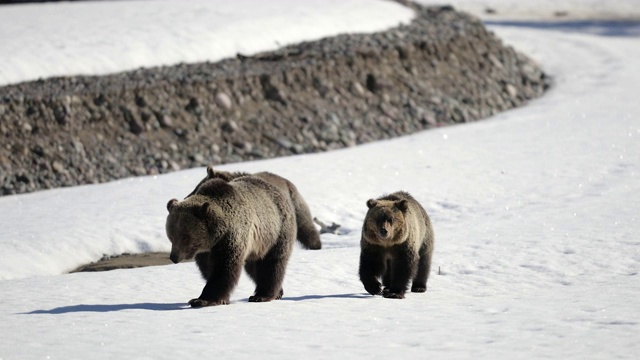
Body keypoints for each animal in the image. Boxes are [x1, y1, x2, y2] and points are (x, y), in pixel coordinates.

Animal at [164, 174, 296, 306]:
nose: (174, 257)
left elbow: (224, 268)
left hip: (276, 232)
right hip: (257, 246)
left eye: (185, 236)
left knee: (272, 263)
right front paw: (219, 299)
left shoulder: (232, 237)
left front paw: (202, 299)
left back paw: (262, 295)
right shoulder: (207, 251)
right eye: (171, 236)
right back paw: (278, 291)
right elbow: (208, 268)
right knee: (253, 268)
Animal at [188, 166, 322, 250]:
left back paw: (315, 245)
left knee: (306, 227)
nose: (186, 196)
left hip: (295, 206)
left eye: (198, 187)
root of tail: (288, 182)